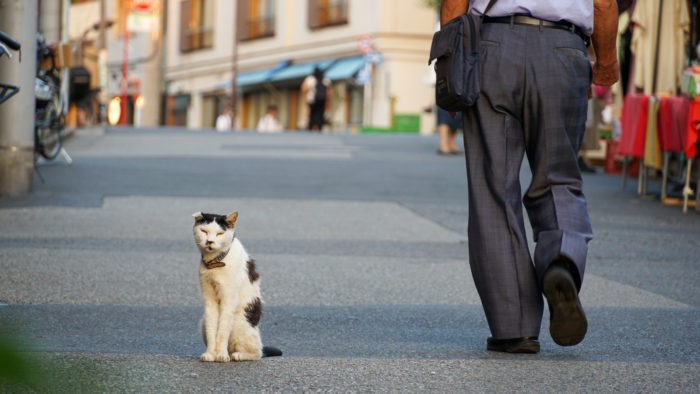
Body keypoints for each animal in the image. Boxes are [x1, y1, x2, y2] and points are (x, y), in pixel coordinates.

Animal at [191, 211, 282, 362]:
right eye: (204, 231)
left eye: (219, 233)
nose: (209, 241)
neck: (215, 262)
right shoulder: (209, 298)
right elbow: (212, 329)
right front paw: (210, 354)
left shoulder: (229, 298)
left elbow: (222, 330)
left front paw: (221, 355)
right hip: (203, 322)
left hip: (239, 322)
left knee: (256, 353)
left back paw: (236, 355)